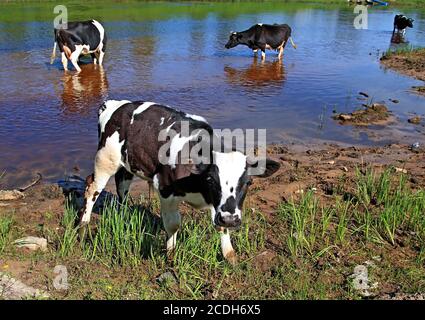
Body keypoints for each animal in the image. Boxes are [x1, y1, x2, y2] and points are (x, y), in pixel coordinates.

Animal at [78, 100, 280, 264]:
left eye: (248, 183)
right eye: (211, 180)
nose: (231, 219)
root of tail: (115, 104)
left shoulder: (220, 206)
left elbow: (220, 226)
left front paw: (229, 255)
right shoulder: (165, 189)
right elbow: (173, 224)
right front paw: (171, 254)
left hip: (127, 164)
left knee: (122, 187)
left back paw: (123, 215)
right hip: (105, 160)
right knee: (92, 188)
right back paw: (83, 225)